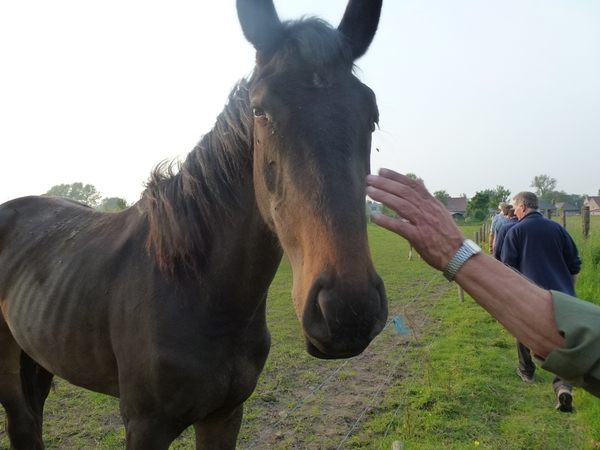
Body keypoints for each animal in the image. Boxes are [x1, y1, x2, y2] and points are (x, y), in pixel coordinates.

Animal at [0, 1, 384, 448]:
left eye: (372, 113)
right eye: (259, 110)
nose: (348, 310)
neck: (195, 288)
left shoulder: (225, 416)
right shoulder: (145, 426)